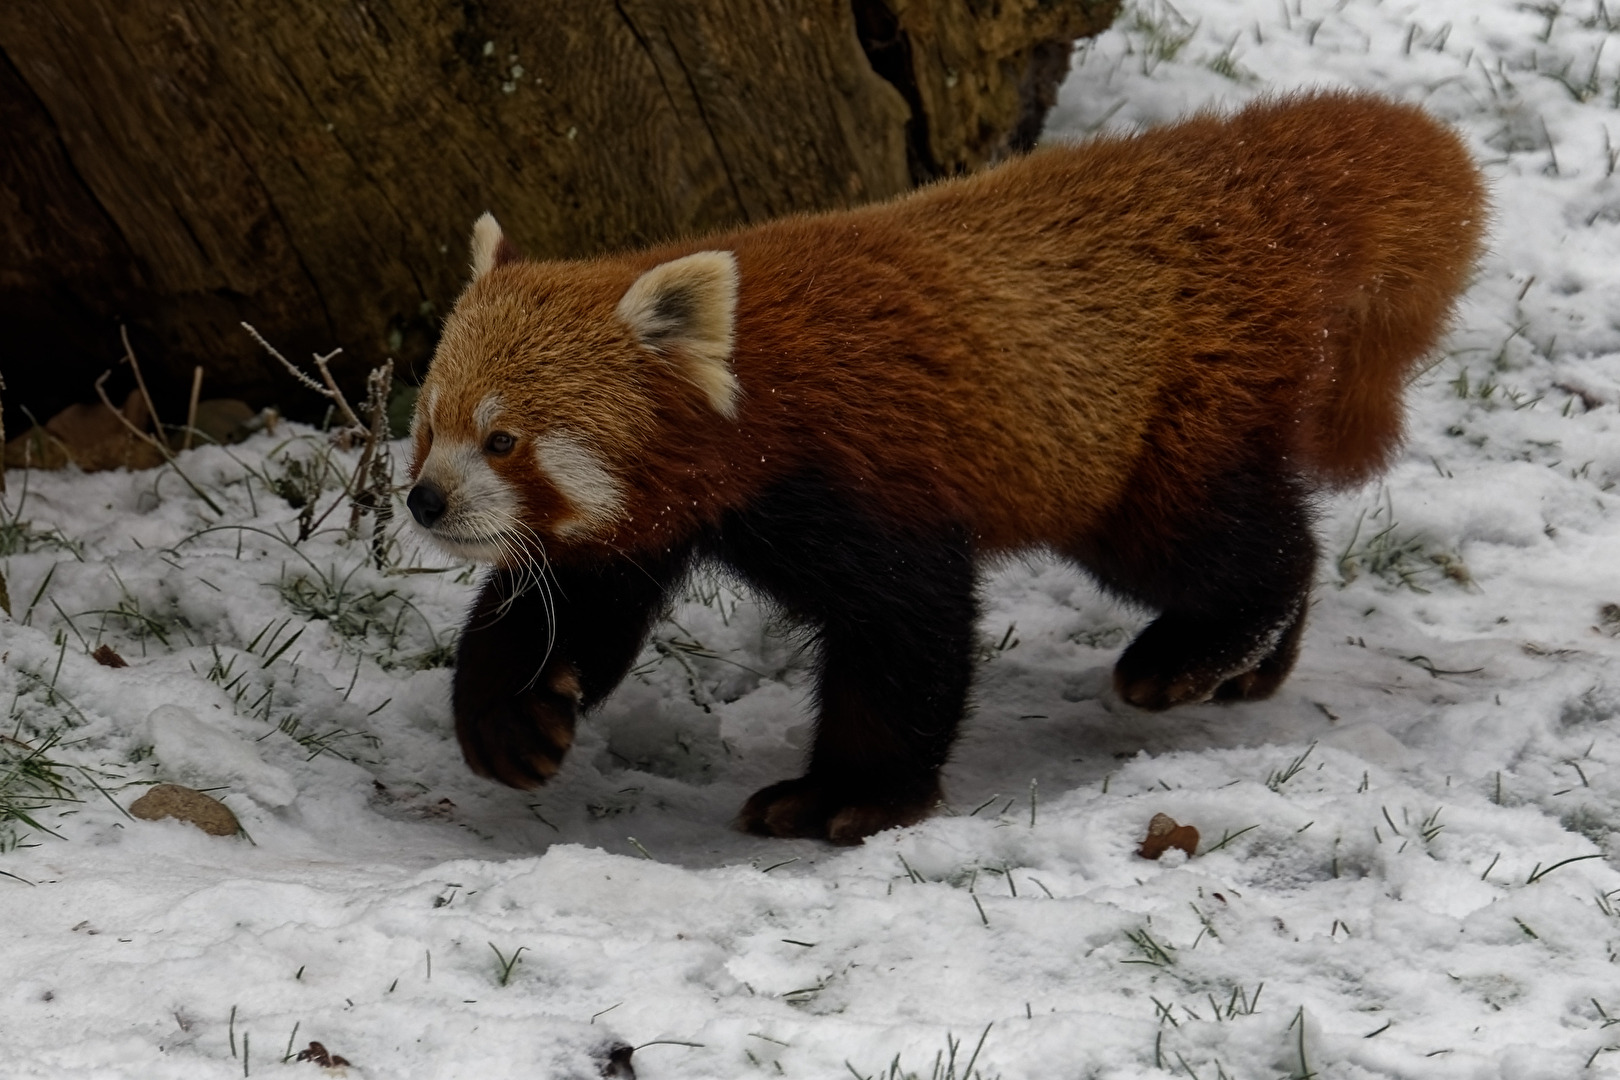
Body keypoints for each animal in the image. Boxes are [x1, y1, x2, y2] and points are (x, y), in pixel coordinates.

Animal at [411, 93, 1483, 841]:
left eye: (504, 441)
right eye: (427, 427)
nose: (424, 501)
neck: (754, 401)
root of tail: (1236, 174)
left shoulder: (863, 475)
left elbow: (906, 631)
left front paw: (845, 798)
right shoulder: (665, 512)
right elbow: (573, 600)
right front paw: (514, 720)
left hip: (1167, 416)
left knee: (1224, 547)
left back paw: (1190, 655)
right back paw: (1255, 665)